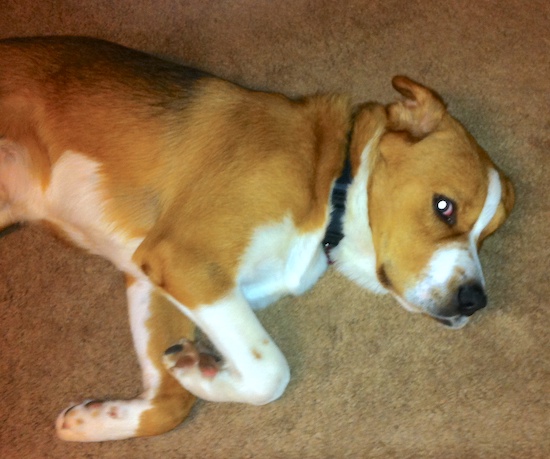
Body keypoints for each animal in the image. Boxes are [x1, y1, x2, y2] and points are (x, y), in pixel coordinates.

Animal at [1, 37, 516, 444]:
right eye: (444, 207)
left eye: (488, 237)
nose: (475, 301)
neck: (331, 185)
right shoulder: (184, 259)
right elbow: (270, 371)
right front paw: (205, 368)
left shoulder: (148, 276)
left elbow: (170, 402)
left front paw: (104, 415)